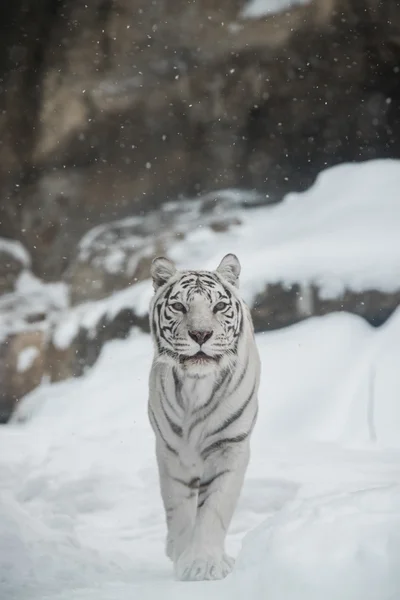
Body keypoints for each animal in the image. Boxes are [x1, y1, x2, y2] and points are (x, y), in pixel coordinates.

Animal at [148, 254, 260, 580]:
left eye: (219, 306)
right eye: (179, 306)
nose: (200, 334)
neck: (198, 385)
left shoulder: (229, 446)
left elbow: (214, 508)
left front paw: (203, 564)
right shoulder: (172, 451)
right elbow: (179, 508)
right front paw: (183, 556)